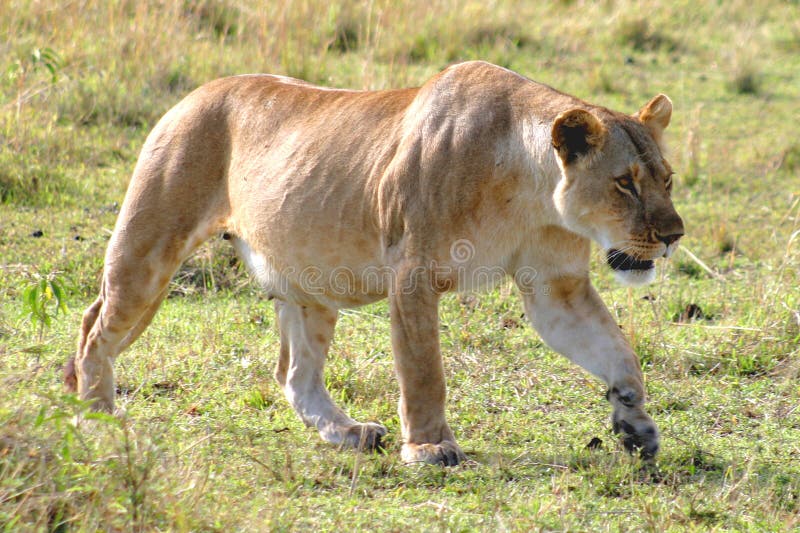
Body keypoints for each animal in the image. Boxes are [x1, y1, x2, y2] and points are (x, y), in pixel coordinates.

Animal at [66, 61, 683, 465]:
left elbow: (616, 350)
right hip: (148, 250)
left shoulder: (556, 287)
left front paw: (635, 423)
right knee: (95, 327)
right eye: (625, 183)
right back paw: (96, 413)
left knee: (294, 375)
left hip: (308, 280)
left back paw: (350, 434)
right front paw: (431, 447)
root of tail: (195, 93)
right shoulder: (413, 275)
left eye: (667, 179)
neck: (531, 189)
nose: (674, 235)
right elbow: (424, 371)